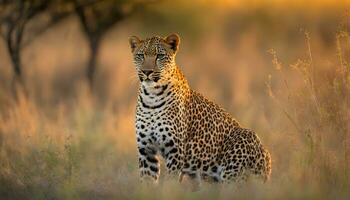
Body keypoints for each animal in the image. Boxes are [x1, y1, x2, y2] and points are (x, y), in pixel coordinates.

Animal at [128, 33, 270, 186]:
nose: (147, 71)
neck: (151, 97)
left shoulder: (175, 151)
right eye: (141, 55)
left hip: (236, 166)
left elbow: (170, 181)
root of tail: (267, 162)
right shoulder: (146, 150)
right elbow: (147, 182)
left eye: (159, 56)